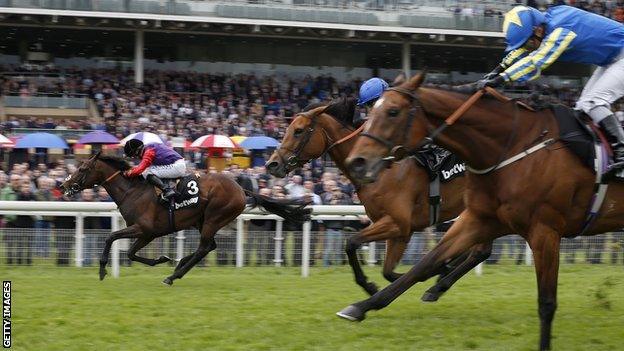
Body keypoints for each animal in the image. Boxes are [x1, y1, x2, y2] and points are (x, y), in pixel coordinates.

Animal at [61, 152, 310, 286]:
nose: (64, 185)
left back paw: (174, 275)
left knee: (204, 248)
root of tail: (241, 188)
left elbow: (111, 237)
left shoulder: (143, 228)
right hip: (203, 221)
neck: (132, 191)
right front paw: (162, 258)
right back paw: (179, 264)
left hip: (213, 217)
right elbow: (130, 253)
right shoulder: (148, 233)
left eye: (83, 168)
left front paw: (102, 270)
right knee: (210, 246)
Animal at [264, 99, 492, 300]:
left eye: (298, 130)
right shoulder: (402, 231)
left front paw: (370, 286)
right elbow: (388, 272)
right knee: (481, 252)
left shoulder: (396, 223)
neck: (381, 171)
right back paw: (441, 281)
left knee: (479, 251)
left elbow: (351, 242)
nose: (272, 164)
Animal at [338, 73, 624, 350]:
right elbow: (420, 264)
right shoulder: (477, 218)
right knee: (479, 252)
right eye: (369, 113)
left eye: (393, 111)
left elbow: (546, 302)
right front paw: (361, 306)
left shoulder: (545, 230)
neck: (512, 145)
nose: (358, 162)